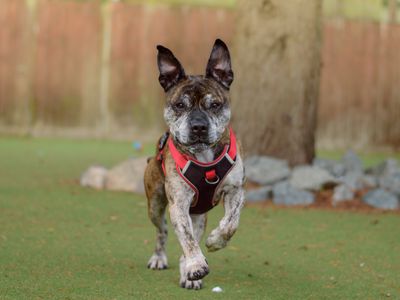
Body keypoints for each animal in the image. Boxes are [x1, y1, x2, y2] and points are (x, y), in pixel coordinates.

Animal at [144, 38, 244, 290]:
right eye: (180, 105)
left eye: (215, 105)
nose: (198, 126)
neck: (204, 158)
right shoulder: (178, 204)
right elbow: (187, 240)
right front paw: (196, 266)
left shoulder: (236, 191)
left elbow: (231, 223)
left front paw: (216, 241)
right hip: (155, 205)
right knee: (163, 231)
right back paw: (160, 258)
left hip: (198, 215)